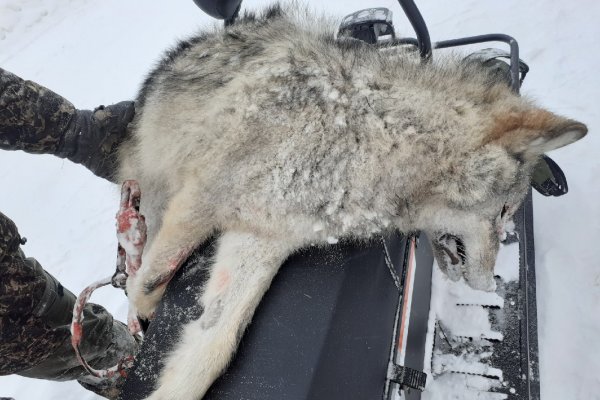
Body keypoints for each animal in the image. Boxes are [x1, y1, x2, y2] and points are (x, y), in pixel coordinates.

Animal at [116, 3, 584, 400]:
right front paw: (142, 315)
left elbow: (214, 346)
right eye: (503, 211)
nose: (490, 286)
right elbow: (152, 281)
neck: (361, 136)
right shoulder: (200, 199)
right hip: (154, 184)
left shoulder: (263, 238)